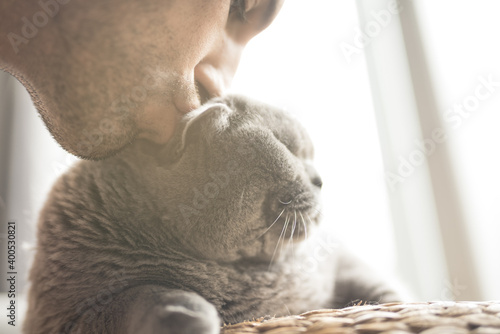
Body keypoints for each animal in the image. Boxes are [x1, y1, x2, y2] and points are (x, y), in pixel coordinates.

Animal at [23, 94, 400, 334]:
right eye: (288, 147)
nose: (321, 179)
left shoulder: (337, 260)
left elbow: (376, 283)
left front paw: (388, 308)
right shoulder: (72, 314)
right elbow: (148, 294)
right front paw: (190, 317)